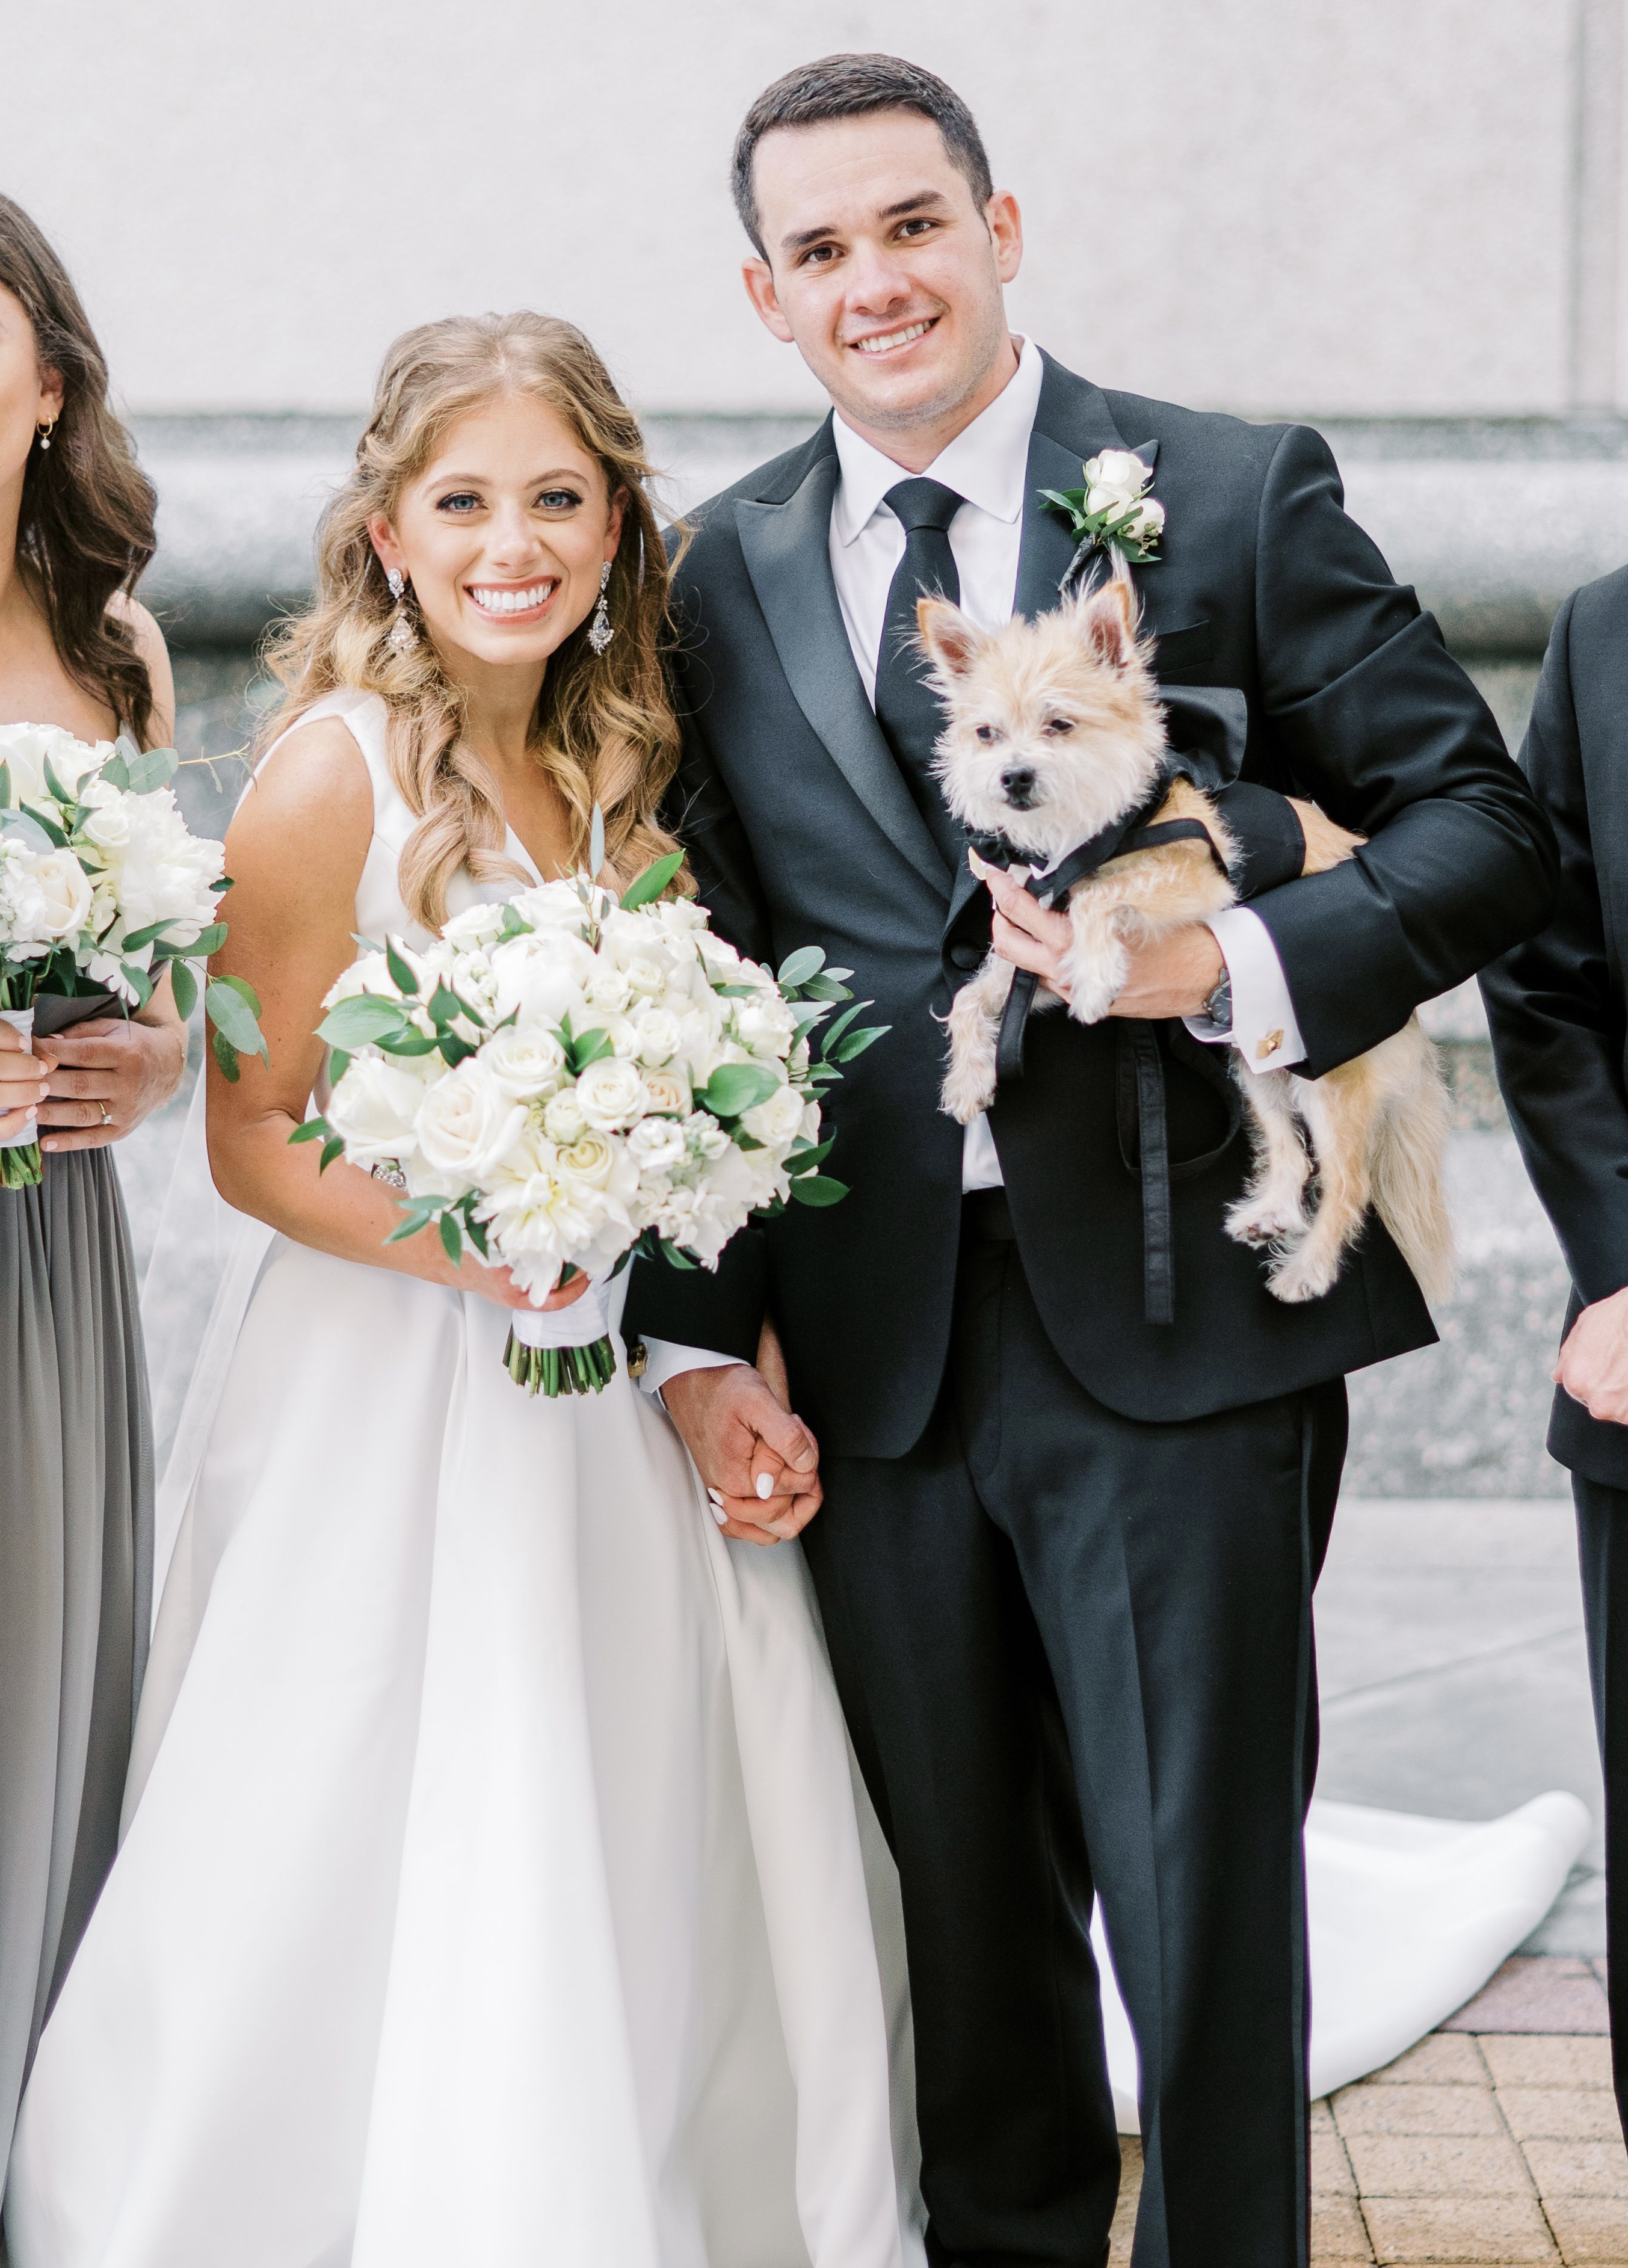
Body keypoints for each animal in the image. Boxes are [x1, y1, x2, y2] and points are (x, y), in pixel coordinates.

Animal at [925, 572, 1460, 1315]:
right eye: (986, 734)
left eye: (1060, 724)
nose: (1013, 776)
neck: (1084, 837)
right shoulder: (1034, 954)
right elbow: (976, 999)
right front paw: (969, 1079)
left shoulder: (1195, 882)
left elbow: (1098, 898)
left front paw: (1097, 976)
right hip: (1257, 1068)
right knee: (1291, 1151)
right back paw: (1271, 1212)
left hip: (1327, 1081)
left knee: (1348, 1183)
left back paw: (1306, 1270)